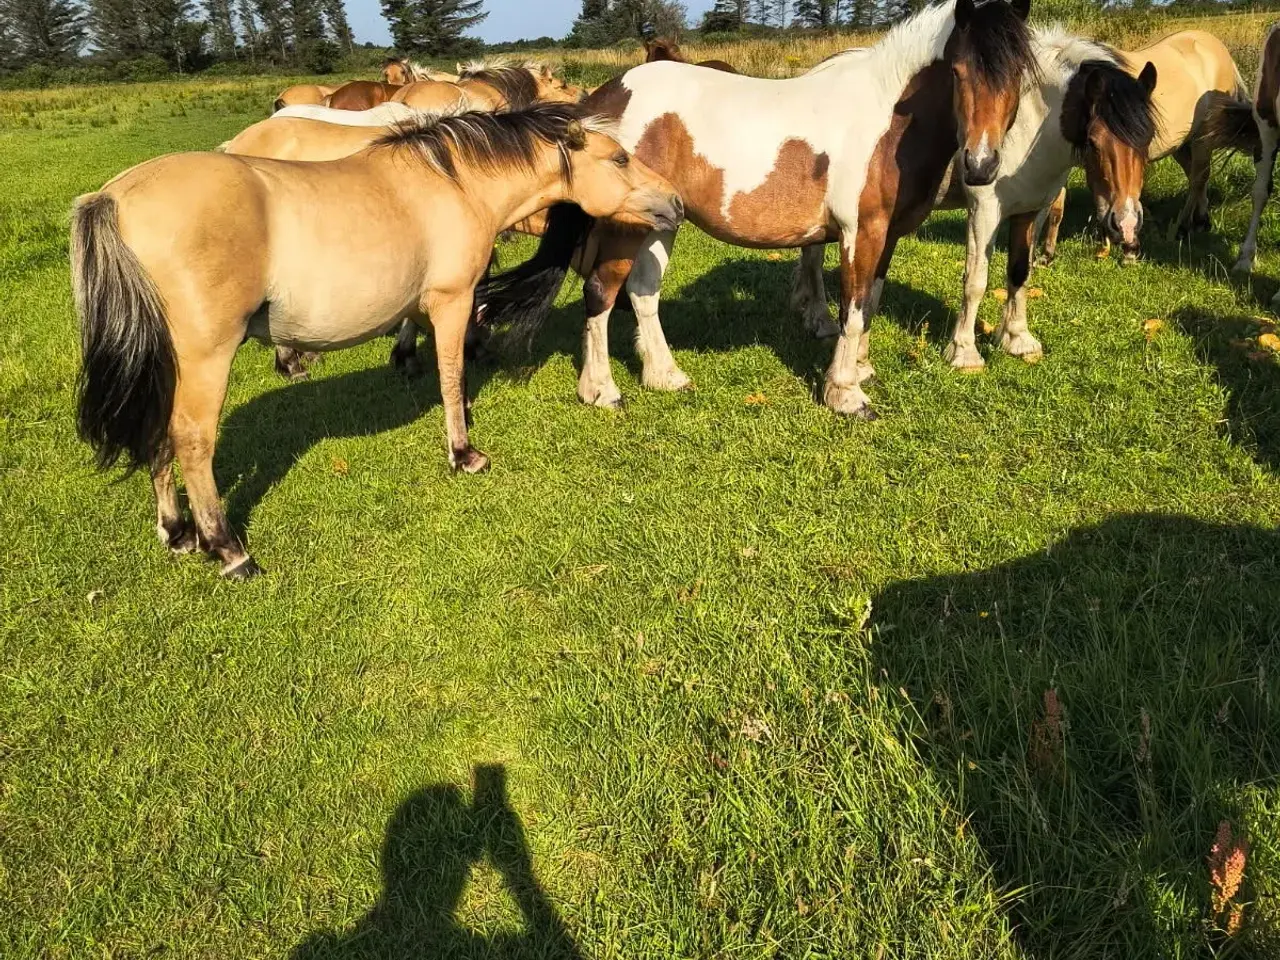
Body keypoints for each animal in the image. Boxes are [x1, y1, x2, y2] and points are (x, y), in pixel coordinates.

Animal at [71, 105, 683, 579]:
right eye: (619, 158)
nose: (676, 203)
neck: (454, 183)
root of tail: (113, 198)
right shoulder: (452, 302)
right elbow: (451, 373)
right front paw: (464, 453)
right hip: (205, 360)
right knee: (192, 443)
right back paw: (228, 550)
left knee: (157, 433)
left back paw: (176, 532)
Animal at [483, 0, 1038, 418]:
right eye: (959, 72)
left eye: (1019, 74)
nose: (982, 166)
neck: (889, 121)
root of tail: (606, 99)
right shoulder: (861, 231)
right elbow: (854, 306)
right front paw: (846, 394)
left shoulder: (888, 235)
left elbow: (871, 303)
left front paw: (858, 370)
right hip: (624, 227)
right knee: (601, 291)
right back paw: (601, 390)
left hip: (662, 222)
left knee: (642, 291)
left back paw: (665, 376)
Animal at [792, 26, 1157, 373]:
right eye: (1094, 142)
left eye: (1148, 138)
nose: (1126, 224)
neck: (1027, 124)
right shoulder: (985, 209)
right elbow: (976, 280)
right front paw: (964, 352)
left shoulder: (1033, 208)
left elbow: (1020, 272)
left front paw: (1017, 339)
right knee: (813, 257)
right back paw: (821, 319)